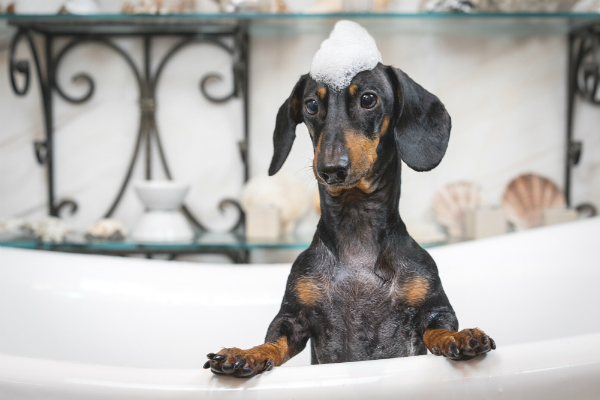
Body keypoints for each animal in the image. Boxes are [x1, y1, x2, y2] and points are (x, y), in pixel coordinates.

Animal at [204, 62, 494, 378]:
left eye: (368, 99)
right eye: (311, 105)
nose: (331, 169)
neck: (357, 234)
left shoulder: (435, 310)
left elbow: (439, 329)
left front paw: (460, 337)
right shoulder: (292, 318)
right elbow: (274, 342)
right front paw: (246, 354)